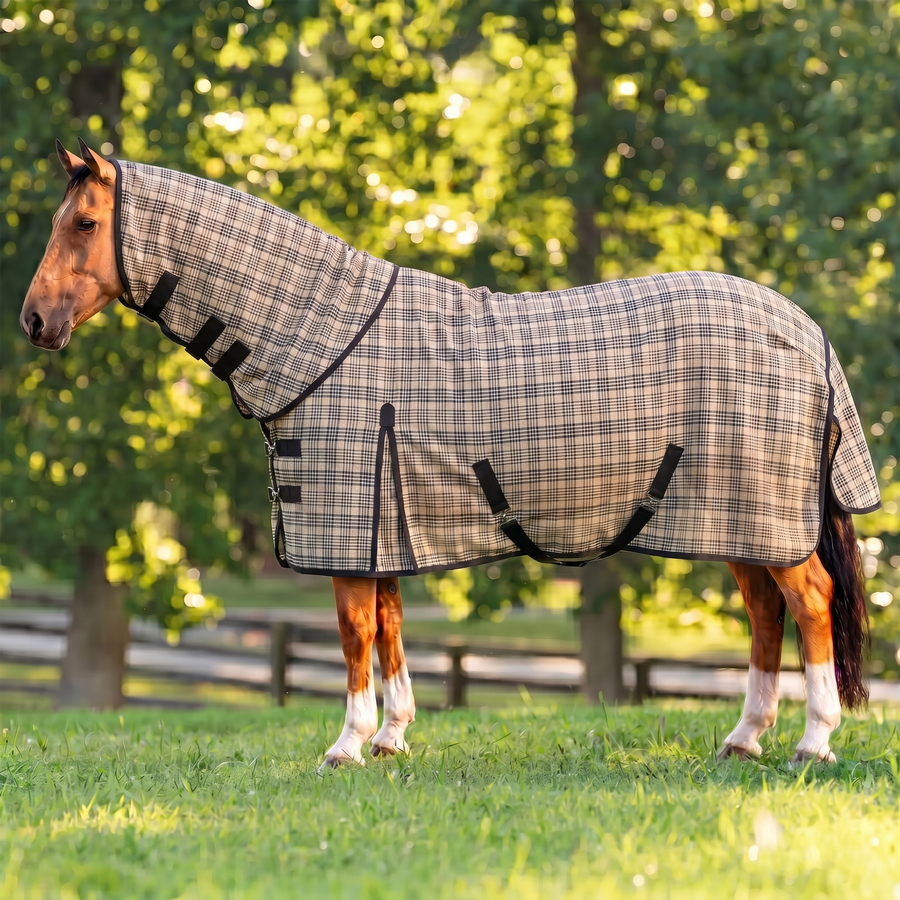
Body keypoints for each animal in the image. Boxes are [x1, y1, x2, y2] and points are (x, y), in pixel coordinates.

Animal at [20, 141, 879, 767]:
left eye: (85, 225)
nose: (32, 321)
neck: (323, 338)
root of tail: (806, 332)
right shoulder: (383, 526)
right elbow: (393, 630)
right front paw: (393, 736)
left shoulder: (348, 524)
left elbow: (354, 635)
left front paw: (347, 746)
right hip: (740, 521)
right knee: (766, 610)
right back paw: (744, 738)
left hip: (763, 512)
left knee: (808, 601)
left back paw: (813, 742)